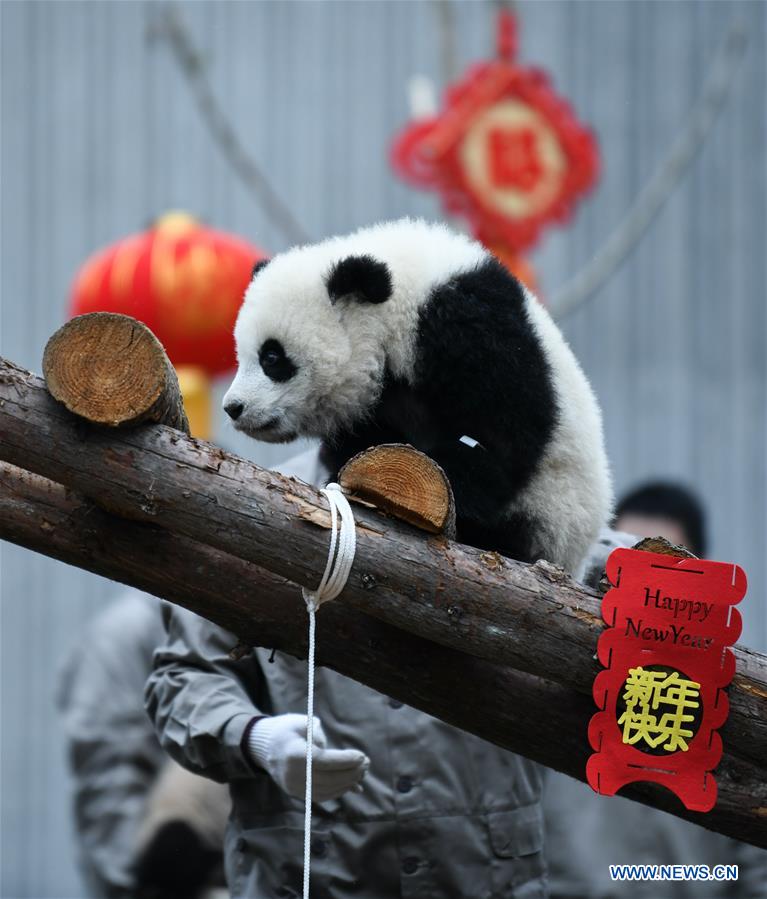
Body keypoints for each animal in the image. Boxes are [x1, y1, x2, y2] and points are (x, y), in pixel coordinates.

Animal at [223, 218, 612, 574]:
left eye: (272, 358)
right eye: (241, 354)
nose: (233, 408)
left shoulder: (468, 328)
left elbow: (509, 437)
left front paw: (454, 476)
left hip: (552, 513)